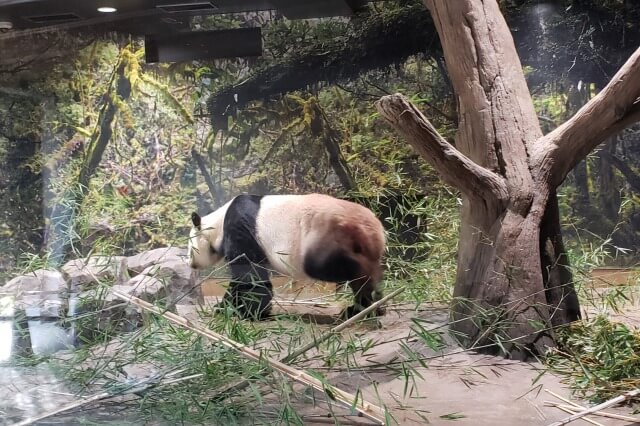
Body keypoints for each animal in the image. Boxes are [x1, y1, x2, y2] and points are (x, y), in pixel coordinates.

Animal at [185, 193, 384, 320]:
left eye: (189, 248)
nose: (190, 263)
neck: (217, 223)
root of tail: (373, 230)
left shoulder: (240, 228)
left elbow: (249, 275)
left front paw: (236, 310)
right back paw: (363, 307)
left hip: (326, 237)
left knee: (336, 267)